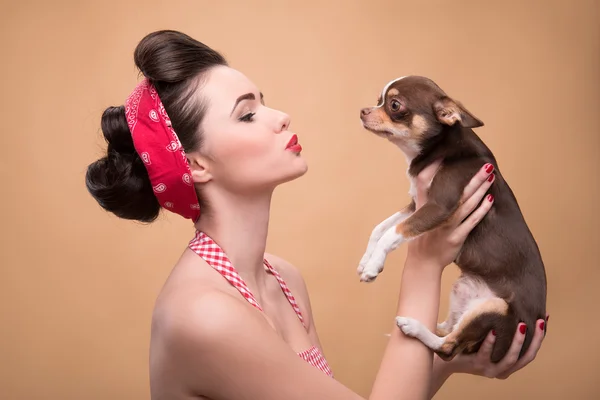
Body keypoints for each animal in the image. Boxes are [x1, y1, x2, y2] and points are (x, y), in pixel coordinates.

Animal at [358, 76, 548, 362]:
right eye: (378, 99)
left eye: (394, 105)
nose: (363, 111)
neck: (440, 148)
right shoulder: (416, 204)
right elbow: (379, 228)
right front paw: (366, 259)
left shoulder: (437, 207)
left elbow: (394, 232)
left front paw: (373, 265)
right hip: (463, 289)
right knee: (449, 330)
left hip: (496, 309)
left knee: (448, 347)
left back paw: (413, 327)